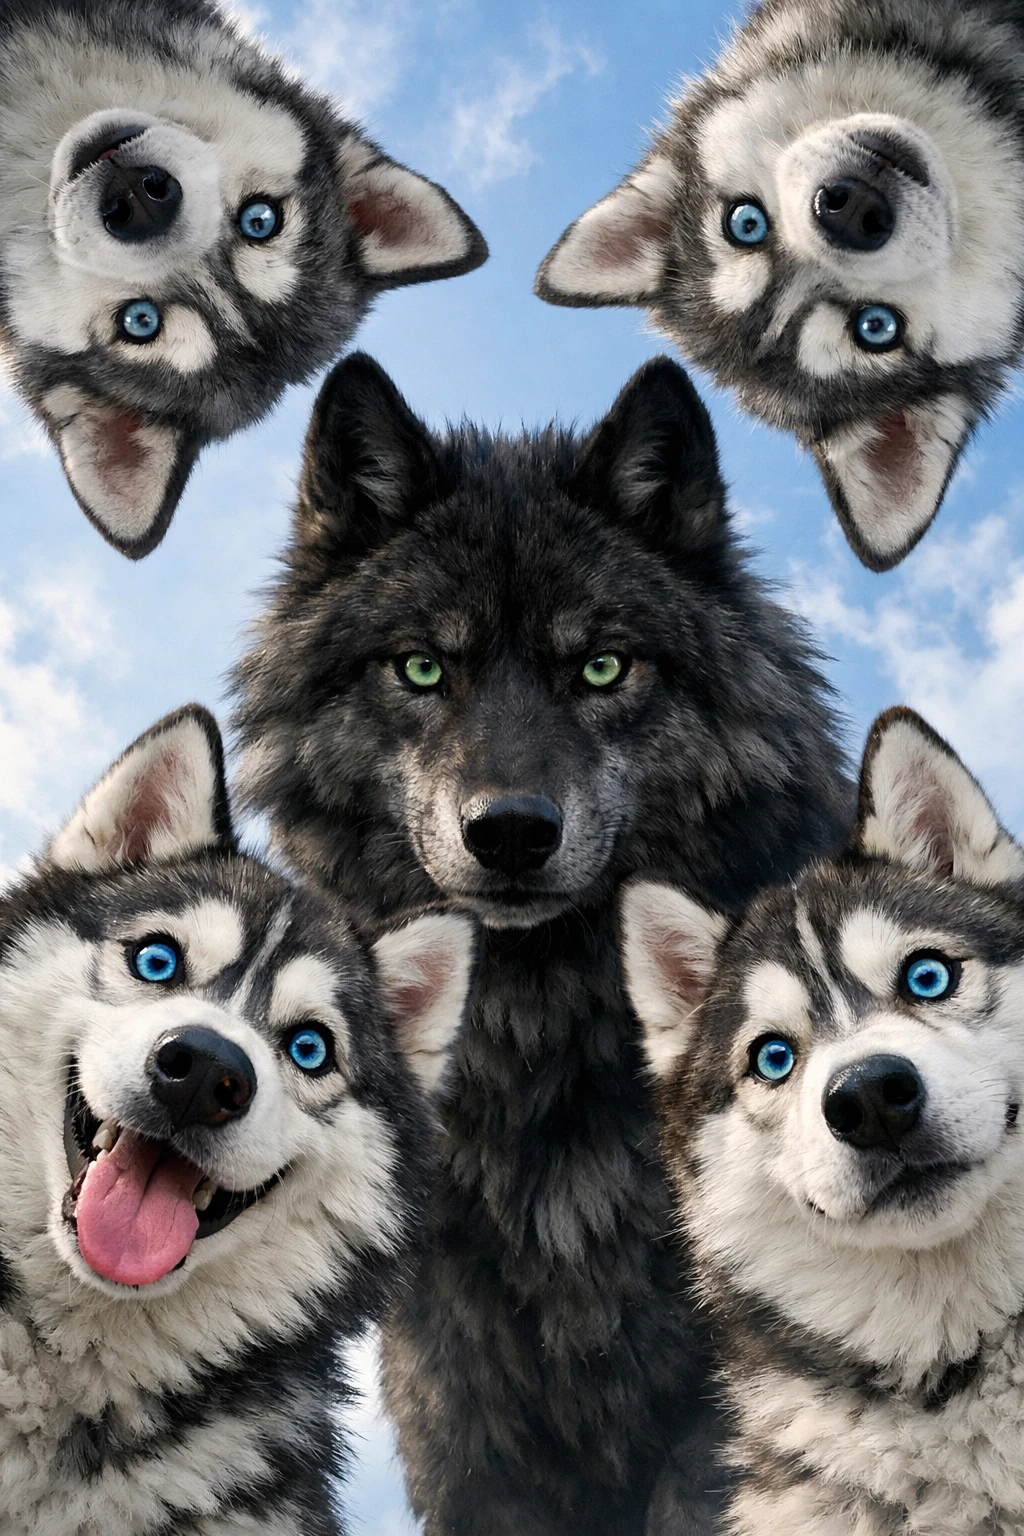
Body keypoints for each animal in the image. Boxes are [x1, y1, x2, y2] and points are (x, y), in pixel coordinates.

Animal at [231, 350, 853, 1533]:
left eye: (602, 668)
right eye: (422, 668)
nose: (511, 832)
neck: (541, 1055)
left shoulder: (719, 1412)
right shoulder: (459, 1410)